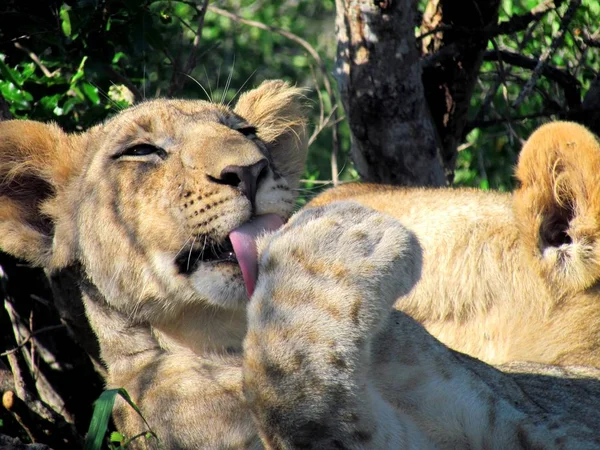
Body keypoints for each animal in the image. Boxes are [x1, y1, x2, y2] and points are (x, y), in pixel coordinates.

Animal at [0, 81, 596, 450]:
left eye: (245, 132)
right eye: (141, 151)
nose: (249, 170)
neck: (230, 331)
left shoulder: (516, 416)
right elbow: (290, 392)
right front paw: (344, 238)